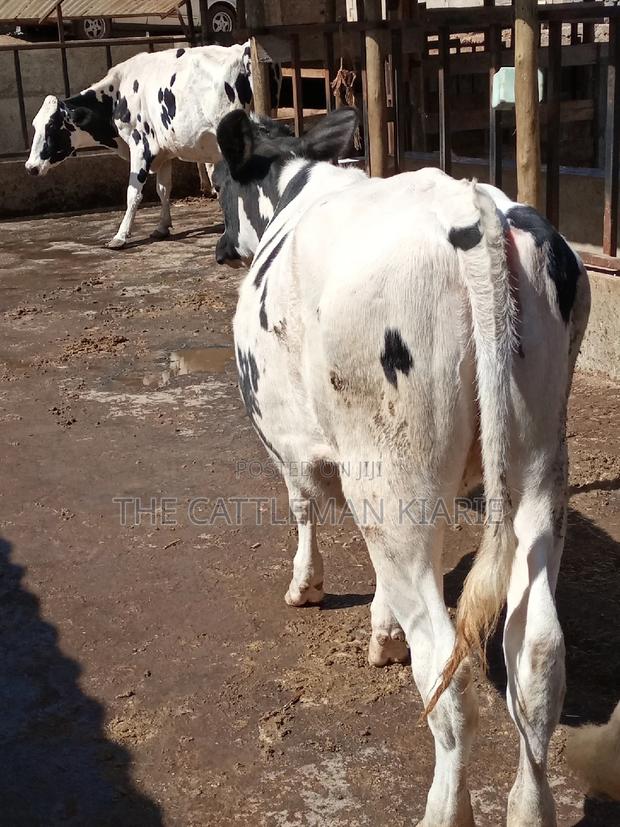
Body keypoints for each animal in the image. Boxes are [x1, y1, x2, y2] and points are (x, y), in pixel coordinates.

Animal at [25, 42, 255, 248]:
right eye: (35, 125)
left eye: (52, 126)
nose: (30, 167)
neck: (117, 94)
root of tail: (242, 51)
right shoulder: (164, 151)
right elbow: (163, 189)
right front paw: (162, 227)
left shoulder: (141, 146)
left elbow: (133, 193)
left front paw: (119, 237)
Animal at [211, 106, 591, 826]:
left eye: (219, 182)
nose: (222, 247)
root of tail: (470, 208)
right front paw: (383, 627)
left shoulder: (288, 439)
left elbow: (302, 509)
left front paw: (308, 587)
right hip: (538, 465)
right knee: (536, 655)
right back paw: (529, 807)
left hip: (393, 476)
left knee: (448, 670)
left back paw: (444, 809)